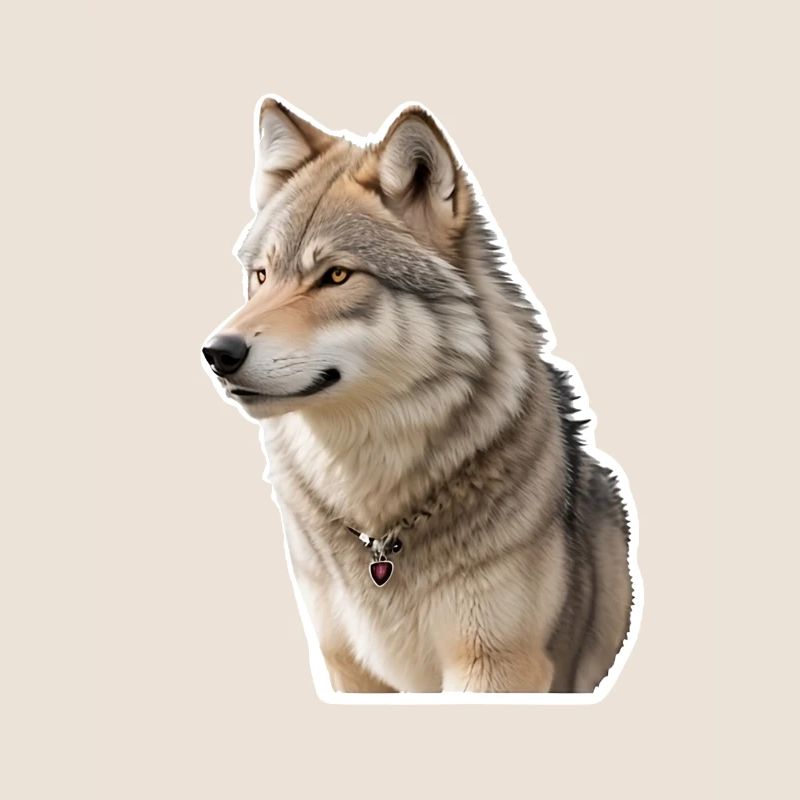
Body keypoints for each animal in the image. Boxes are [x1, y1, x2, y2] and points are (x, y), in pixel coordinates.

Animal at [202, 96, 636, 694]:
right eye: (262, 276)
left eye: (337, 276)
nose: (217, 352)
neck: (379, 523)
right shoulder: (348, 666)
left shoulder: (496, 664)